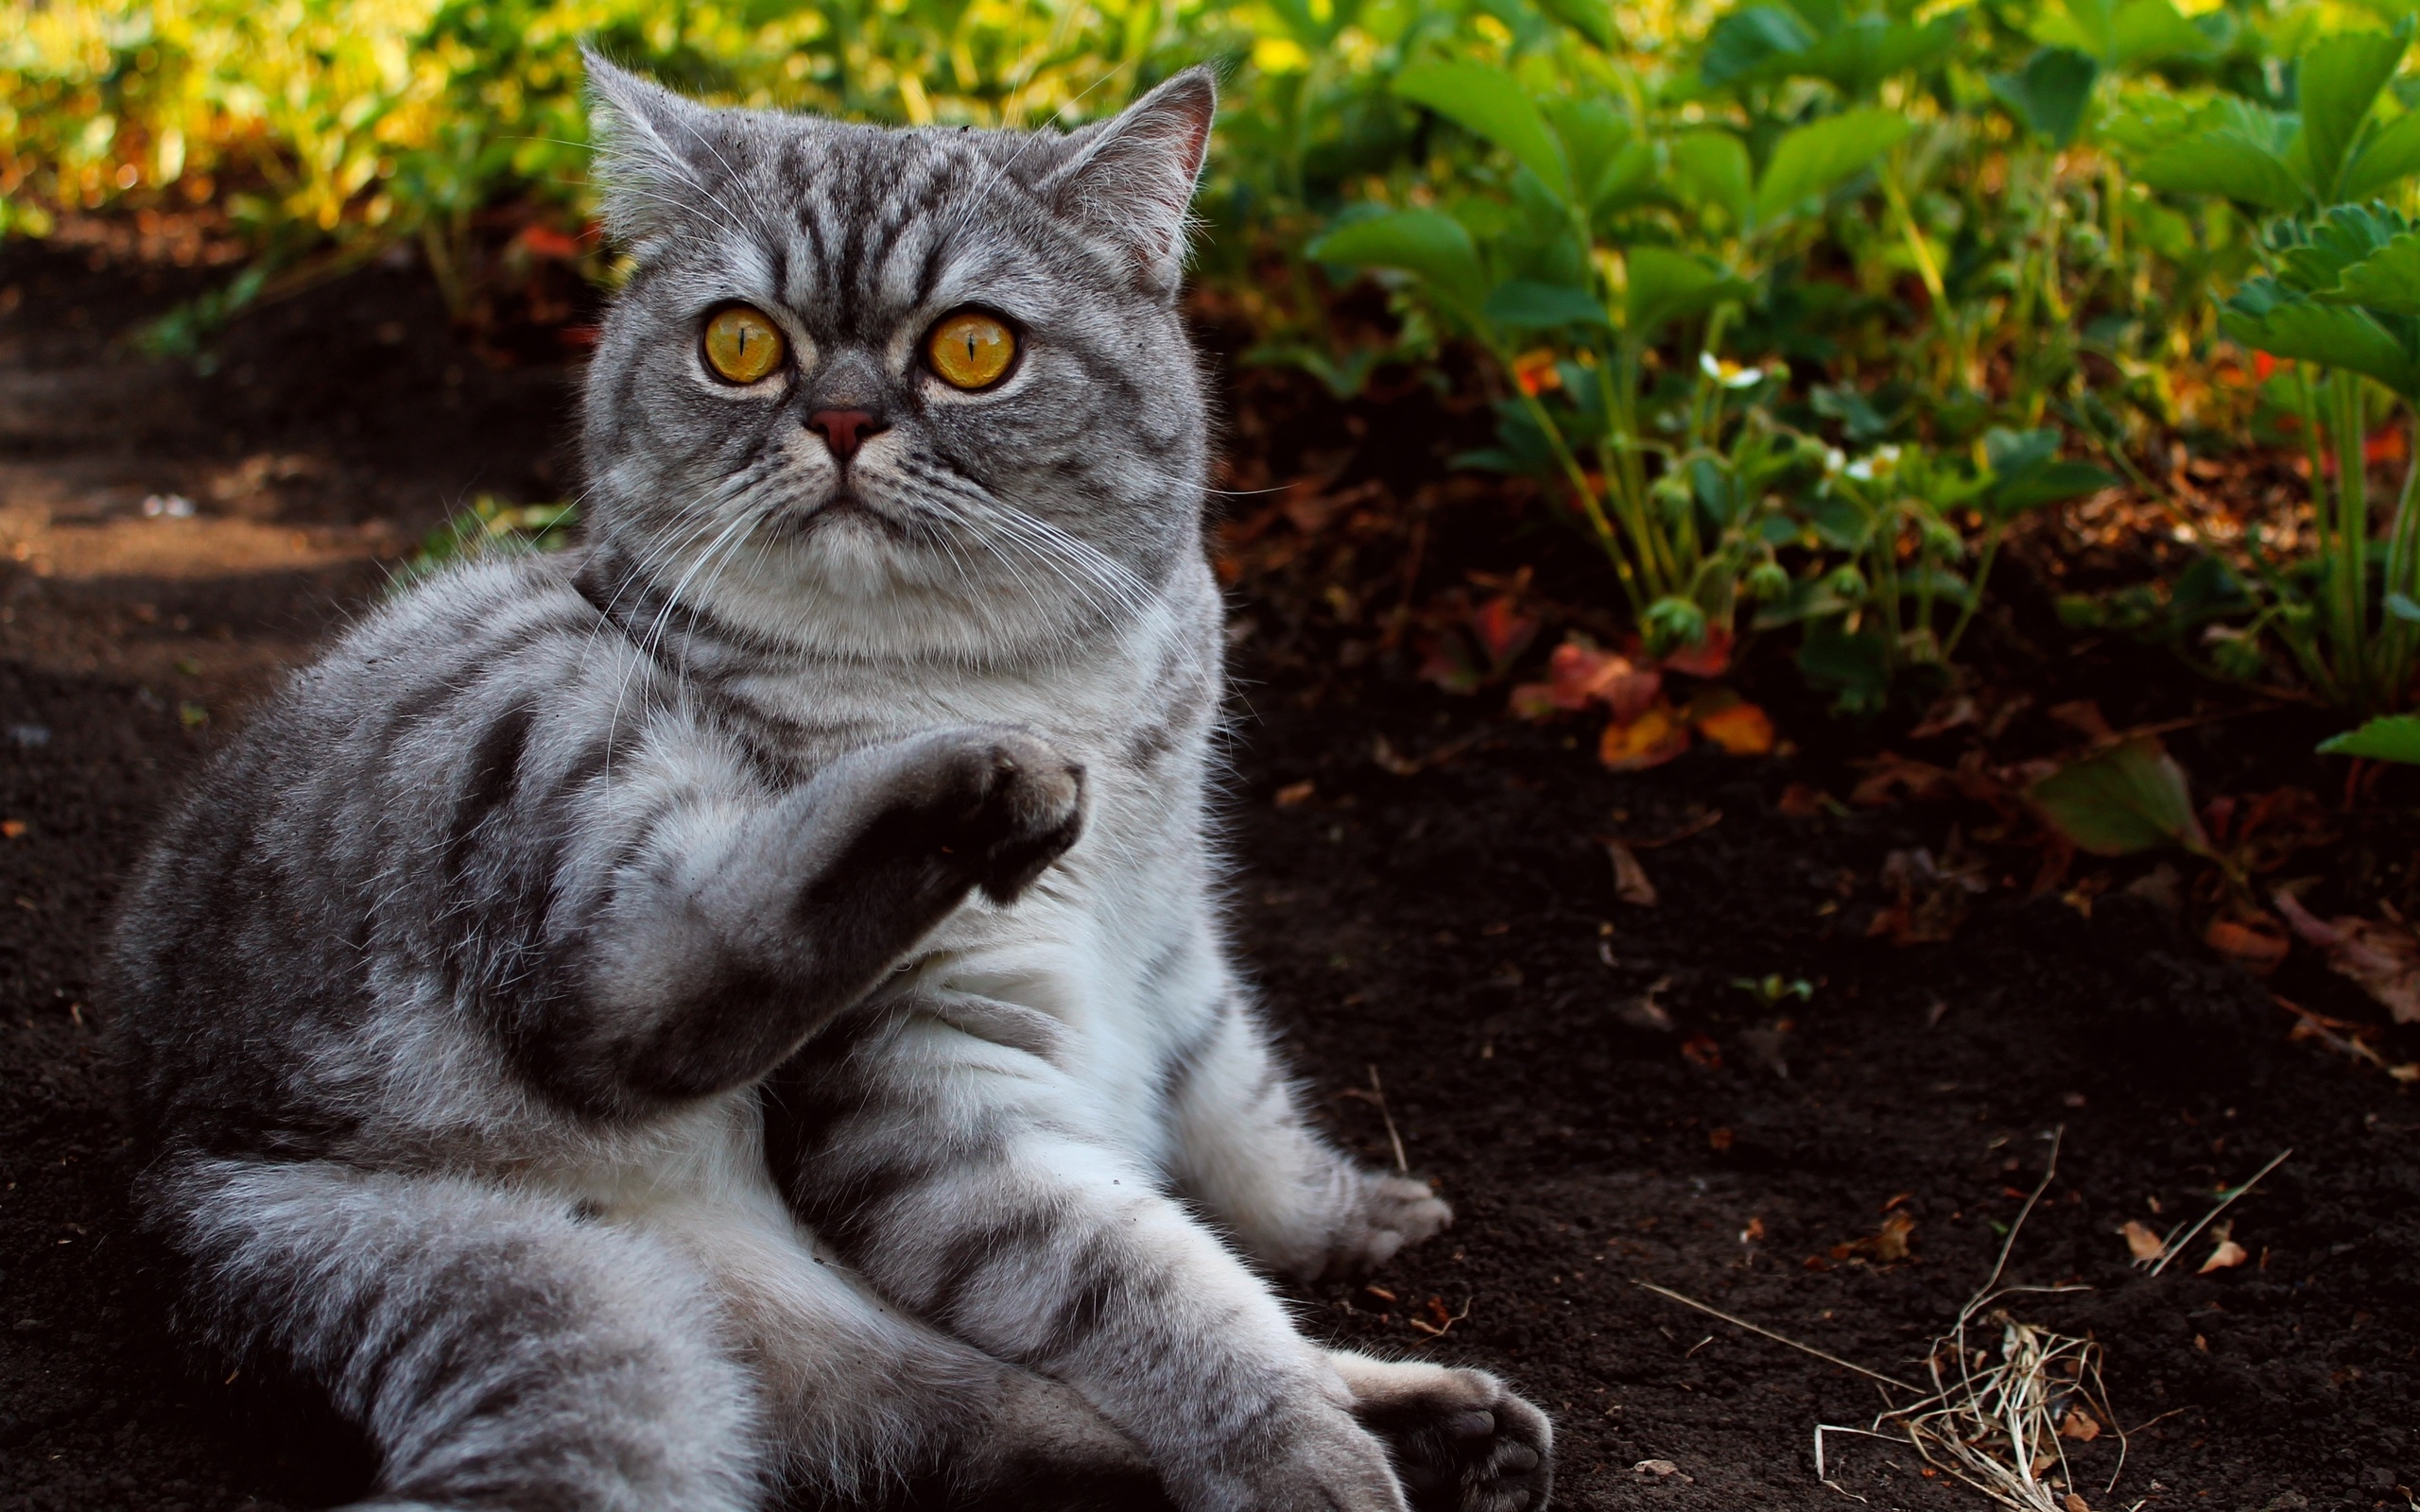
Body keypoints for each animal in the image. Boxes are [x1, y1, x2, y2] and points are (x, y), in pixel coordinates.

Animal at [98, 53, 1548, 1509]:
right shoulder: (930, 1092)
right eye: (741, 343)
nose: (843, 417)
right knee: (634, 996)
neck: (1028, 675)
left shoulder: (1174, 948)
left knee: (979, 1418)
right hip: (542, 708)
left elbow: (1237, 1119)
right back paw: (983, 782)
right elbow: (1148, 1288)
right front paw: (1296, 1446)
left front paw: (1347, 1216)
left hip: (753, 1328)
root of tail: (197, 1165)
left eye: (974, 349)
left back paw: (1433, 1418)